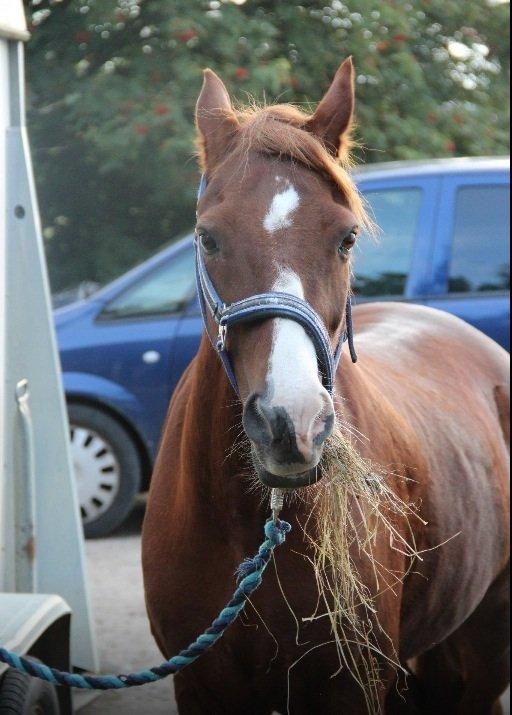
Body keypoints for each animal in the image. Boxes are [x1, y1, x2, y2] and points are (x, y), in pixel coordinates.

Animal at [142, 59, 510, 714]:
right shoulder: (201, 685)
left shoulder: (350, 687)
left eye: (347, 238)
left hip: (489, 638)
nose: (291, 423)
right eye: (208, 237)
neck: (248, 528)